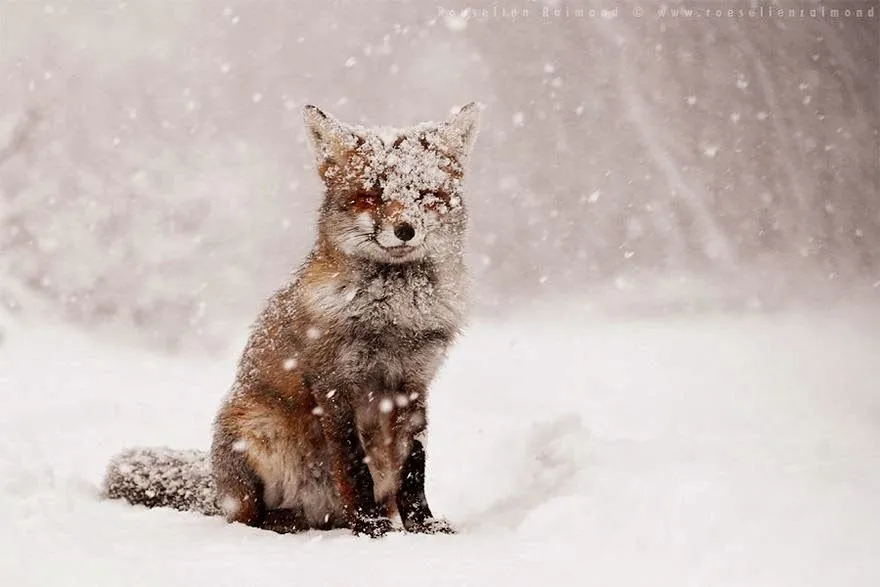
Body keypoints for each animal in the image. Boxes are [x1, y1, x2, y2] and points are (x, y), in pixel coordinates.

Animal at [106, 102, 484, 536]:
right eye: (371, 196)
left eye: (426, 195)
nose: (405, 229)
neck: (392, 319)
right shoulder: (335, 385)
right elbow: (353, 467)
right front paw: (370, 527)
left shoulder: (413, 385)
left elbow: (413, 469)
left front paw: (424, 526)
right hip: (256, 434)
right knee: (249, 518)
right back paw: (293, 523)